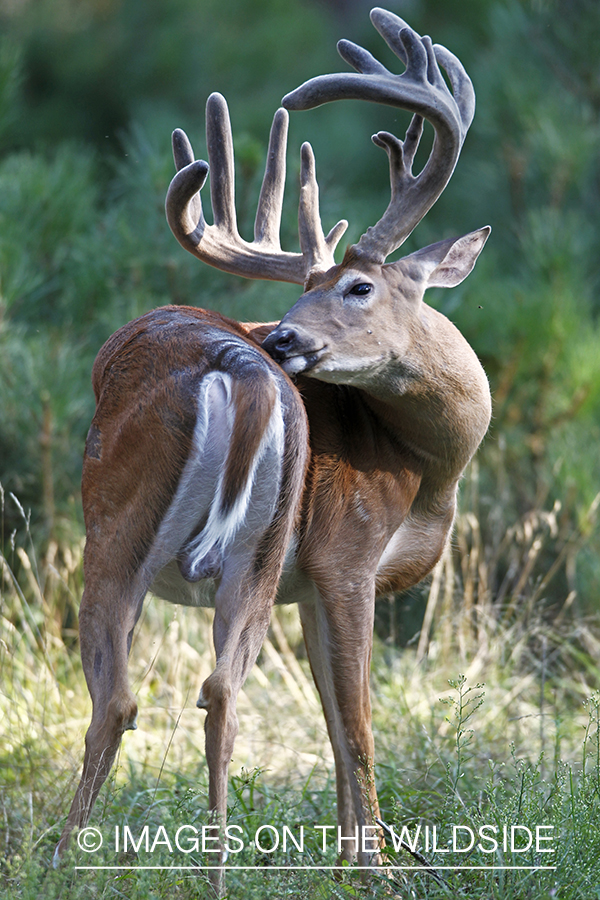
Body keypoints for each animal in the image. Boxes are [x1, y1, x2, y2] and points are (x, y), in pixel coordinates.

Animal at [52, 7, 492, 892]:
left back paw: (128, 868)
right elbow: (354, 720)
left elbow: (338, 720)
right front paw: (373, 869)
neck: (430, 468)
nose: (283, 336)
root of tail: (241, 363)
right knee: (162, 694)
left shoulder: (319, 576)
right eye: (303, 290)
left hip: (180, 537)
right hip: (159, 535)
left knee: (163, 693)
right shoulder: (345, 556)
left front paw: (357, 865)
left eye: (357, 286)